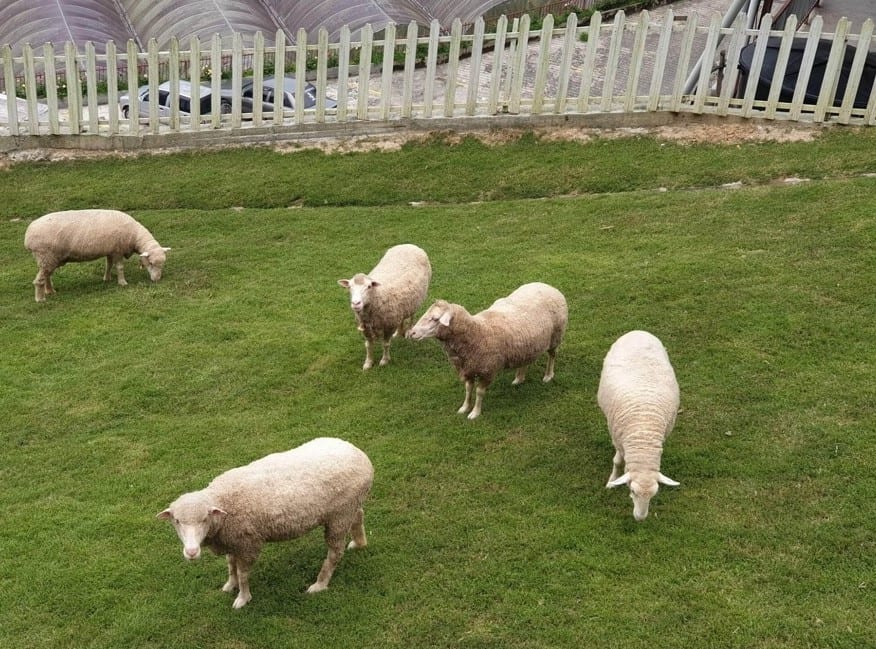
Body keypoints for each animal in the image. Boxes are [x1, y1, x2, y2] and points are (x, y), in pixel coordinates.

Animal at [24, 209, 171, 302]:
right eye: (150, 263)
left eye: (162, 264)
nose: (157, 279)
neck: (134, 235)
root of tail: (27, 236)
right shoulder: (118, 250)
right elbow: (119, 267)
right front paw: (122, 282)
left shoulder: (111, 249)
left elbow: (109, 265)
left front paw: (107, 278)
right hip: (46, 256)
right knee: (40, 279)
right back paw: (40, 299)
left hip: (50, 258)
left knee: (47, 275)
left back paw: (50, 291)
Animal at [156, 436, 372, 608]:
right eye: (177, 521)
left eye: (204, 519)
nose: (191, 552)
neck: (223, 501)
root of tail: (362, 456)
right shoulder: (232, 540)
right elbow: (230, 565)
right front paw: (230, 585)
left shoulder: (248, 543)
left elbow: (243, 573)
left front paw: (243, 598)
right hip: (350, 506)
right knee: (359, 516)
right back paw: (359, 543)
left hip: (339, 516)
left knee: (335, 552)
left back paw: (319, 584)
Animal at [406, 282, 568, 420]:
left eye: (435, 319)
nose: (412, 333)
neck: (477, 332)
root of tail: (547, 285)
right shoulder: (469, 368)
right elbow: (468, 389)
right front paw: (464, 407)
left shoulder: (487, 370)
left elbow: (479, 392)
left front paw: (475, 413)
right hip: (528, 345)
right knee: (526, 360)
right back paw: (519, 378)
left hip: (556, 336)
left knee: (552, 356)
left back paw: (548, 375)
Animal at [600, 330, 680, 520]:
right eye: (632, 491)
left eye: (654, 495)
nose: (640, 518)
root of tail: (638, 331)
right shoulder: (617, 438)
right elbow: (617, 462)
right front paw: (611, 481)